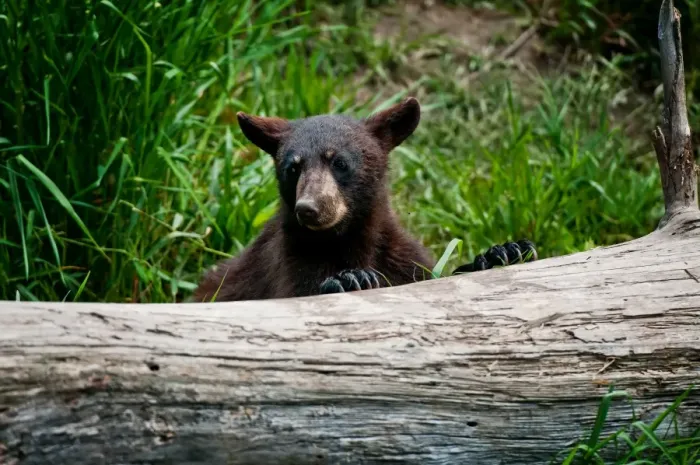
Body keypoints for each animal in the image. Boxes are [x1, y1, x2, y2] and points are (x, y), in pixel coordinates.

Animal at [192, 97, 537, 302]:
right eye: (293, 167)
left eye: (340, 162)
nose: (309, 209)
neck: (349, 240)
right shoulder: (289, 261)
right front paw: (349, 279)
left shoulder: (400, 256)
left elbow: (434, 275)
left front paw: (503, 252)